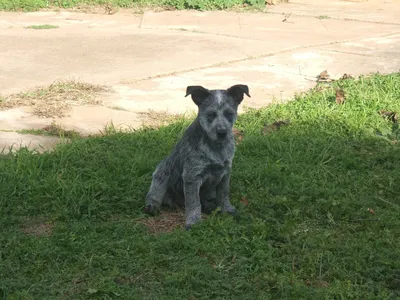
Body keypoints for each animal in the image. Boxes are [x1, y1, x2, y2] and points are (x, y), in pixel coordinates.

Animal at [144, 83, 250, 229]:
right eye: (210, 114)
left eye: (229, 113)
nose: (222, 133)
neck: (216, 147)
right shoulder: (192, 176)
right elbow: (193, 202)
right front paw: (193, 222)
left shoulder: (226, 171)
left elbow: (223, 194)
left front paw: (227, 209)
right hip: (162, 171)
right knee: (155, 193)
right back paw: (152, 206)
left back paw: (210, 206)